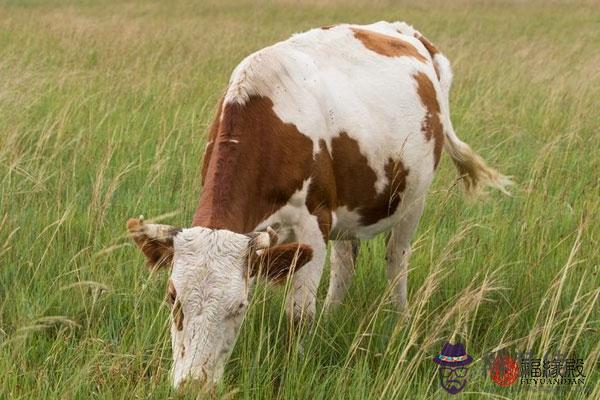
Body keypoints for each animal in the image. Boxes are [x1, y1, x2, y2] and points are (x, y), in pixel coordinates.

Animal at [126, 21, 510, 390]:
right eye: (173, 298)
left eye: (239, 306)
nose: (193, 384)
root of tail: (405, 31)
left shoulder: (313, 224)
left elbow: (298, 314)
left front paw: (294, 365)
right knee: (345, 262)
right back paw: (332, 316)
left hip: (413, 199)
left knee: (396, 261)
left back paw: (400, 321)